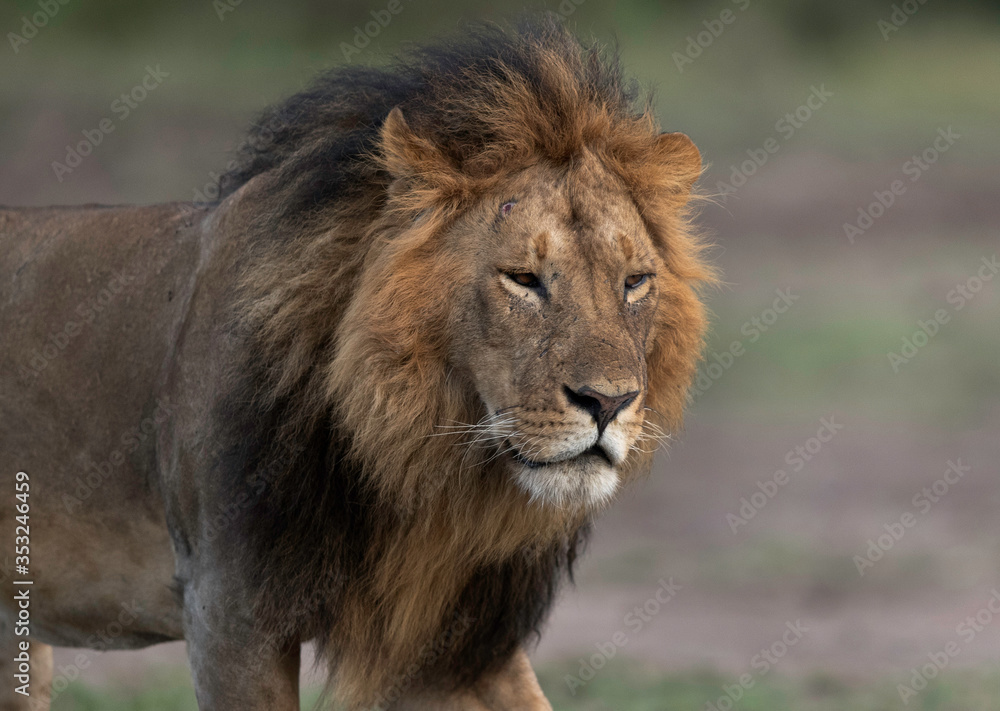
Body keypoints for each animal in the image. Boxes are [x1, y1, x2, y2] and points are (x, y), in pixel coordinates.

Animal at [0, 18, 712, 711]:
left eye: (635, 282)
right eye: (523, 279)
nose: (609, 403)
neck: (411, 457)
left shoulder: (454, 641)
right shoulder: (228, 616)